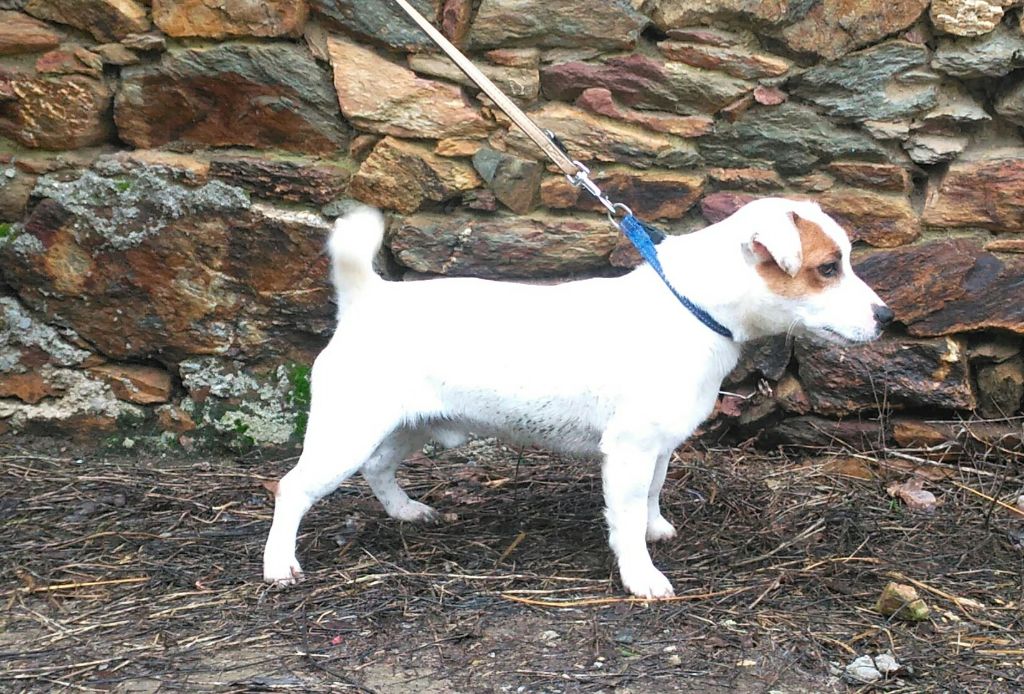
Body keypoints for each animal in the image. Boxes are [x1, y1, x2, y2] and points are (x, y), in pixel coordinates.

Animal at [263, 198, 893, 598]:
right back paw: (279, 565)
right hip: (347, 433)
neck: (691, 307)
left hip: (407, 428)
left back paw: (405, 511)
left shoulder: (658, 449)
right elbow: (625, 518)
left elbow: (651, 499)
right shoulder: (630, 450)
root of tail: (367, 299)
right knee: (293, 488)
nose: (887, 317)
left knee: (378, 469)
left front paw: (655, 528)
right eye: (828, 268)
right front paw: (641, 576)